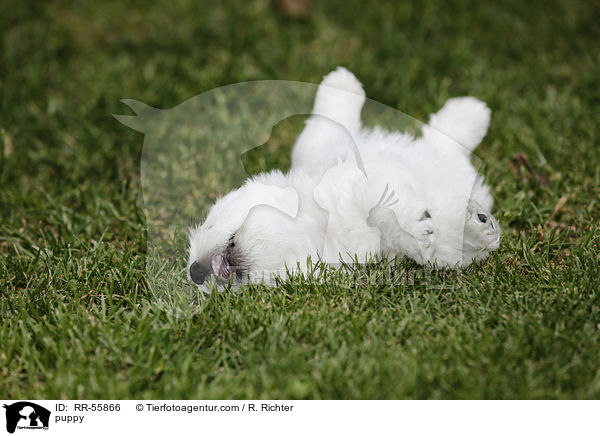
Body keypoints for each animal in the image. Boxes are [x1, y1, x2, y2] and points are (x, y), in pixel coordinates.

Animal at [188, 67, 502, 292]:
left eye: (210, 223)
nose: (195, 273)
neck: (322, 222)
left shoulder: (327, 154)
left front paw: (341, 81)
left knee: (446, 135)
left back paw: (471, 110)